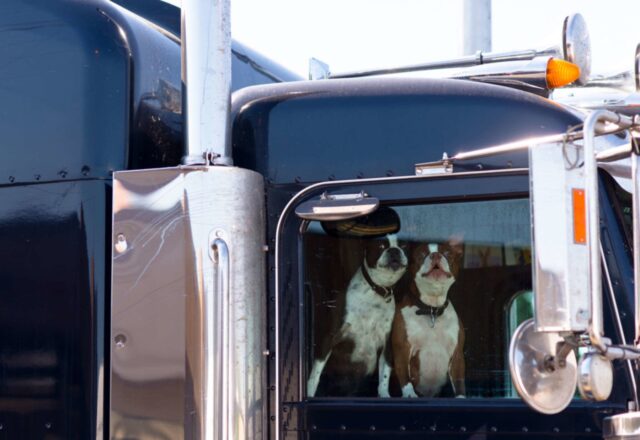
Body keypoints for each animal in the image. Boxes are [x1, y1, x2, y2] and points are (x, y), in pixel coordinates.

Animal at [308, 234, 408, 398]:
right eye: (380, 246)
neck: (376, 291)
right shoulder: (330, 337)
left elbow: (384, 374)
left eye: (404, 245)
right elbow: (316, 371)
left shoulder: (386, 342)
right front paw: (309, 393)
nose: (394, 250)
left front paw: (384, 394)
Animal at [390, 241, 464, 398]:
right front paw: (410, 395)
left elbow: (460, 383)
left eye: (447, 253)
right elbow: (405, 378)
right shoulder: (402, 350)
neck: (432, 310)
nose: (435, 255)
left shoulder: (457, 355)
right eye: (422, 254)